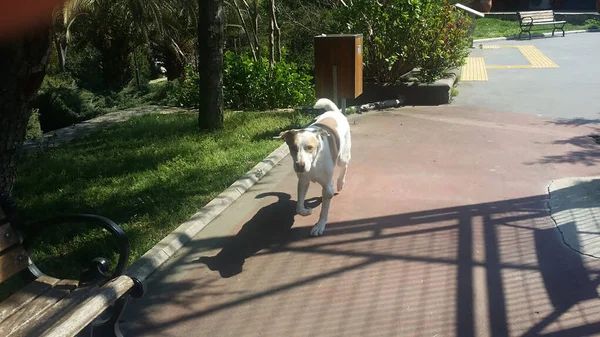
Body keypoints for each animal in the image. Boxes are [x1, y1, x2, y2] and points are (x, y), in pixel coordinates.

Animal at [276, 97, 352, 235]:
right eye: (293, 147)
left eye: (309, 147)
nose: (300, 165)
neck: (314, 163)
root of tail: (335, 112)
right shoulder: (303, 182)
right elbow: (299, 207)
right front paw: (306, 211)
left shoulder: (327, 187)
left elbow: (324, 211)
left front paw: (319, 226)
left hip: (342, 157)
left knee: (345, 165)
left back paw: (340, 183)